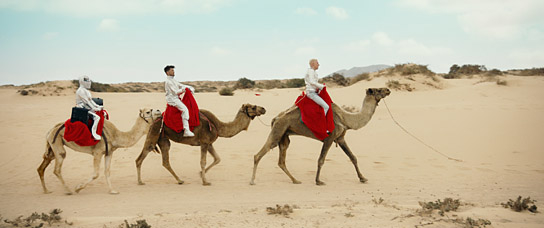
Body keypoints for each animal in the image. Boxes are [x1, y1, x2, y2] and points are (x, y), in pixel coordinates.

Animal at [135, 103, 264, 185]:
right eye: (253, 107)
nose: (263, 109)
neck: (218, 126)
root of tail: (154, 120)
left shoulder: (209, 143)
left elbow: (217, 159)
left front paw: (201, 174)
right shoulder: (204, 142)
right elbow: (203, 161)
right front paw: (205, 181)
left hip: (163, 140)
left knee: (165, 162)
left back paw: (180, 180)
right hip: (153, 135)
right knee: (139, 158)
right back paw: (140, 182)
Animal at [251, 87, 392, 185]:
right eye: (378, 90)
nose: (388, 89)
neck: (346, 119)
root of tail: (275, 118)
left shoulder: (340, 138)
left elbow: (353, 157)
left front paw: (363, 178)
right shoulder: (329, 138)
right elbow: (321, 159)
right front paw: (318, 181)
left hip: (284, 135)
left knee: (281, 161)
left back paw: (295, 180)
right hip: (278, 130)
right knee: (260, 154)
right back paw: (252, 181)